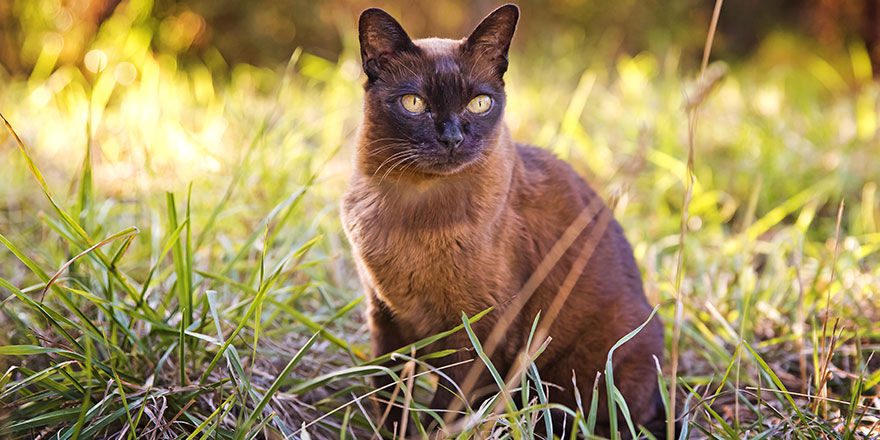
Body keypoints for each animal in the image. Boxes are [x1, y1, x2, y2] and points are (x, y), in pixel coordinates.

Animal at [342, 4, 668, 440]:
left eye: (479, 104)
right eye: (413, 103)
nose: (452, 138)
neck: (410, 208)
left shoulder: (479, 334)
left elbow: (444, 413)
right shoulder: (385, 317)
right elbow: (388, 398)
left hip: (578, 375)